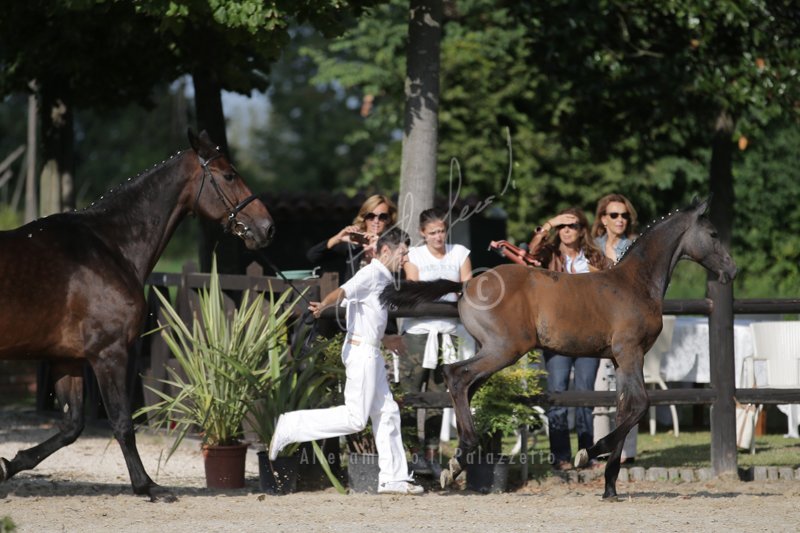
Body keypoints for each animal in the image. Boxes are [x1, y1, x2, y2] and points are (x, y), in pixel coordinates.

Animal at [0, 129, 275, 502]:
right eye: (229, 175)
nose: (267, 227)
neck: (108, 247)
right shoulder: (108, 354)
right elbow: (122, 423)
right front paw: (148, 485)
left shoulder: (68, 359)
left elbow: (71, 426)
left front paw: (8, 465)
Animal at [382, 198, 737, 500]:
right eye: (713, 234)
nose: (731, 270)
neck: (636, 283)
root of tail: (467, 284)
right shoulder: (630, 352)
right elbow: (639, 405)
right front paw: (586, 453)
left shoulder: (619, 360)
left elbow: (625, 409)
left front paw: (609, 487)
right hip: (504, 349)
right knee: (455, 375)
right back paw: (464, 452)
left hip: (491, 350)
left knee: (466, 386)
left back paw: (457, 463)